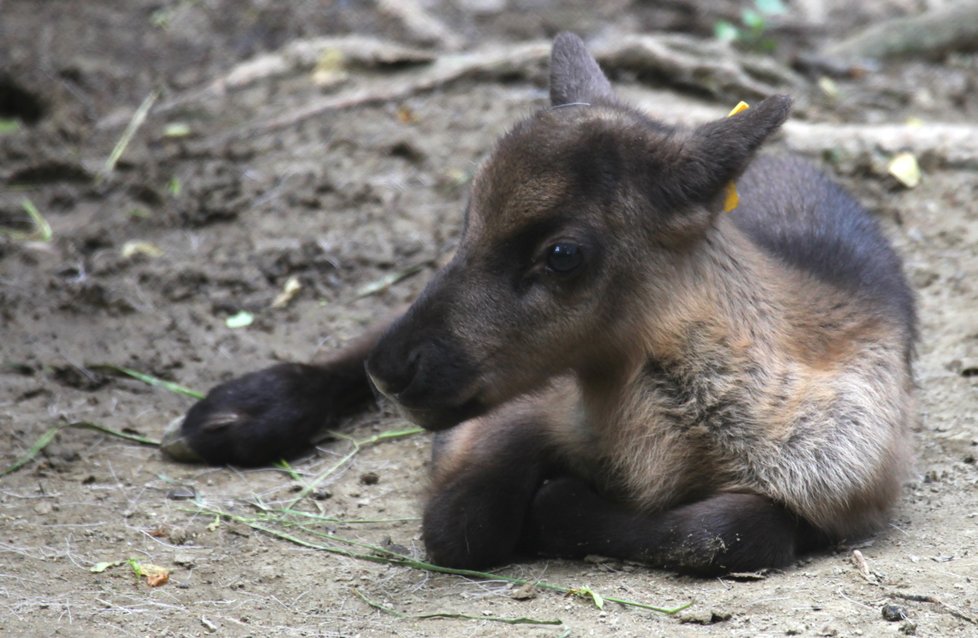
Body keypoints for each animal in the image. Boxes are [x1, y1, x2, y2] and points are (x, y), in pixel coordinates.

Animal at [162, 32, 916, 576]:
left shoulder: (848, 489)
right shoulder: (513, 407)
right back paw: (232, 415)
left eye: (562, 253)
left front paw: (559, 505)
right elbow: (459, 522)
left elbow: (729, 530)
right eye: (467, 219)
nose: (396, 372)